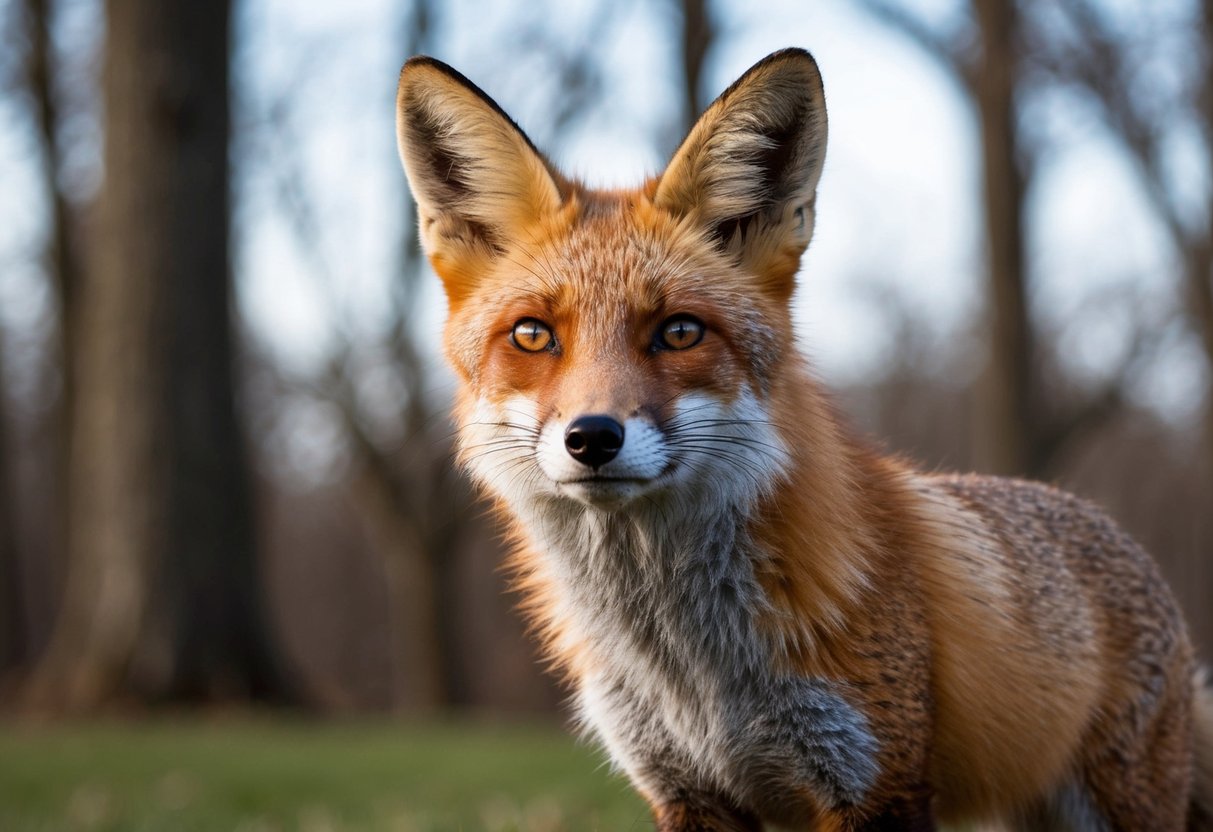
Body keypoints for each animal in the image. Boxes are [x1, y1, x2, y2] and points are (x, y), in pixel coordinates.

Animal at [395, 48, 1213, 830]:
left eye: (679, 331)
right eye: (532, 335)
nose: (592, 437)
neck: (694, 673)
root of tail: (1108, 527)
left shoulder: (874, 782)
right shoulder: (686, 791)